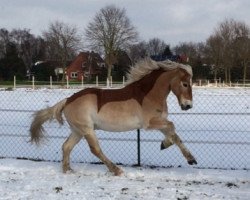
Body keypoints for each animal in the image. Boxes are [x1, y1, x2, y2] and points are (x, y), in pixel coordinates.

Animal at [29, 57, 197, 175]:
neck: (148, 94)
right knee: (95, 149)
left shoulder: (160, 122)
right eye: (185, 84)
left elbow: (174, 134)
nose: (188, 106)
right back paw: (116, 170)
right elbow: (172, 127)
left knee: (66, 146)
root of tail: (67, 100)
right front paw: (166, 145)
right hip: (87, 130)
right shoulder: (150, 123)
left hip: (78, 131)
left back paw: (68, 171)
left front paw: (190, 159)